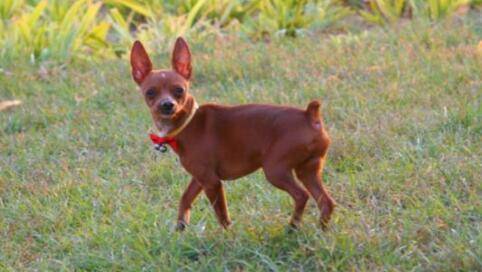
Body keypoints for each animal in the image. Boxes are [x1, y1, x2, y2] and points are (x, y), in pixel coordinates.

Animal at [131, 37, 336, 230]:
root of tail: (310, 116)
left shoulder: (212, 182)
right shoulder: (200, 178)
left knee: (302, 196)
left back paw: (292, 227)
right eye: (150, 92)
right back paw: (320, 230)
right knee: (326, 201)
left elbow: (222, 215)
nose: (167, 105)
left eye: (179, 90)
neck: (187, 123)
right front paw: (180, 227)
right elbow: (185, 198)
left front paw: (227, 235)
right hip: (308, 169)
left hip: (275, 170)